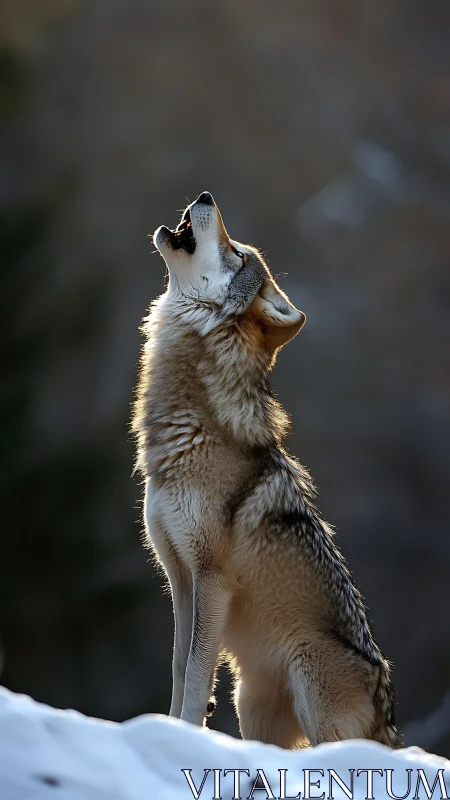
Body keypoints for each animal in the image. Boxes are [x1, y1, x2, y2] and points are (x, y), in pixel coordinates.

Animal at [132, 191, 402, 749]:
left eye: (236, 255)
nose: (205, 196)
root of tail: (386, 709)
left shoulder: (211, 579)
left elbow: (196, 677)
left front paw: (184, 736)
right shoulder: (180, 580)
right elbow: (178, 670)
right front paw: (164, 734)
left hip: (309, 686)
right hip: (251, 703)